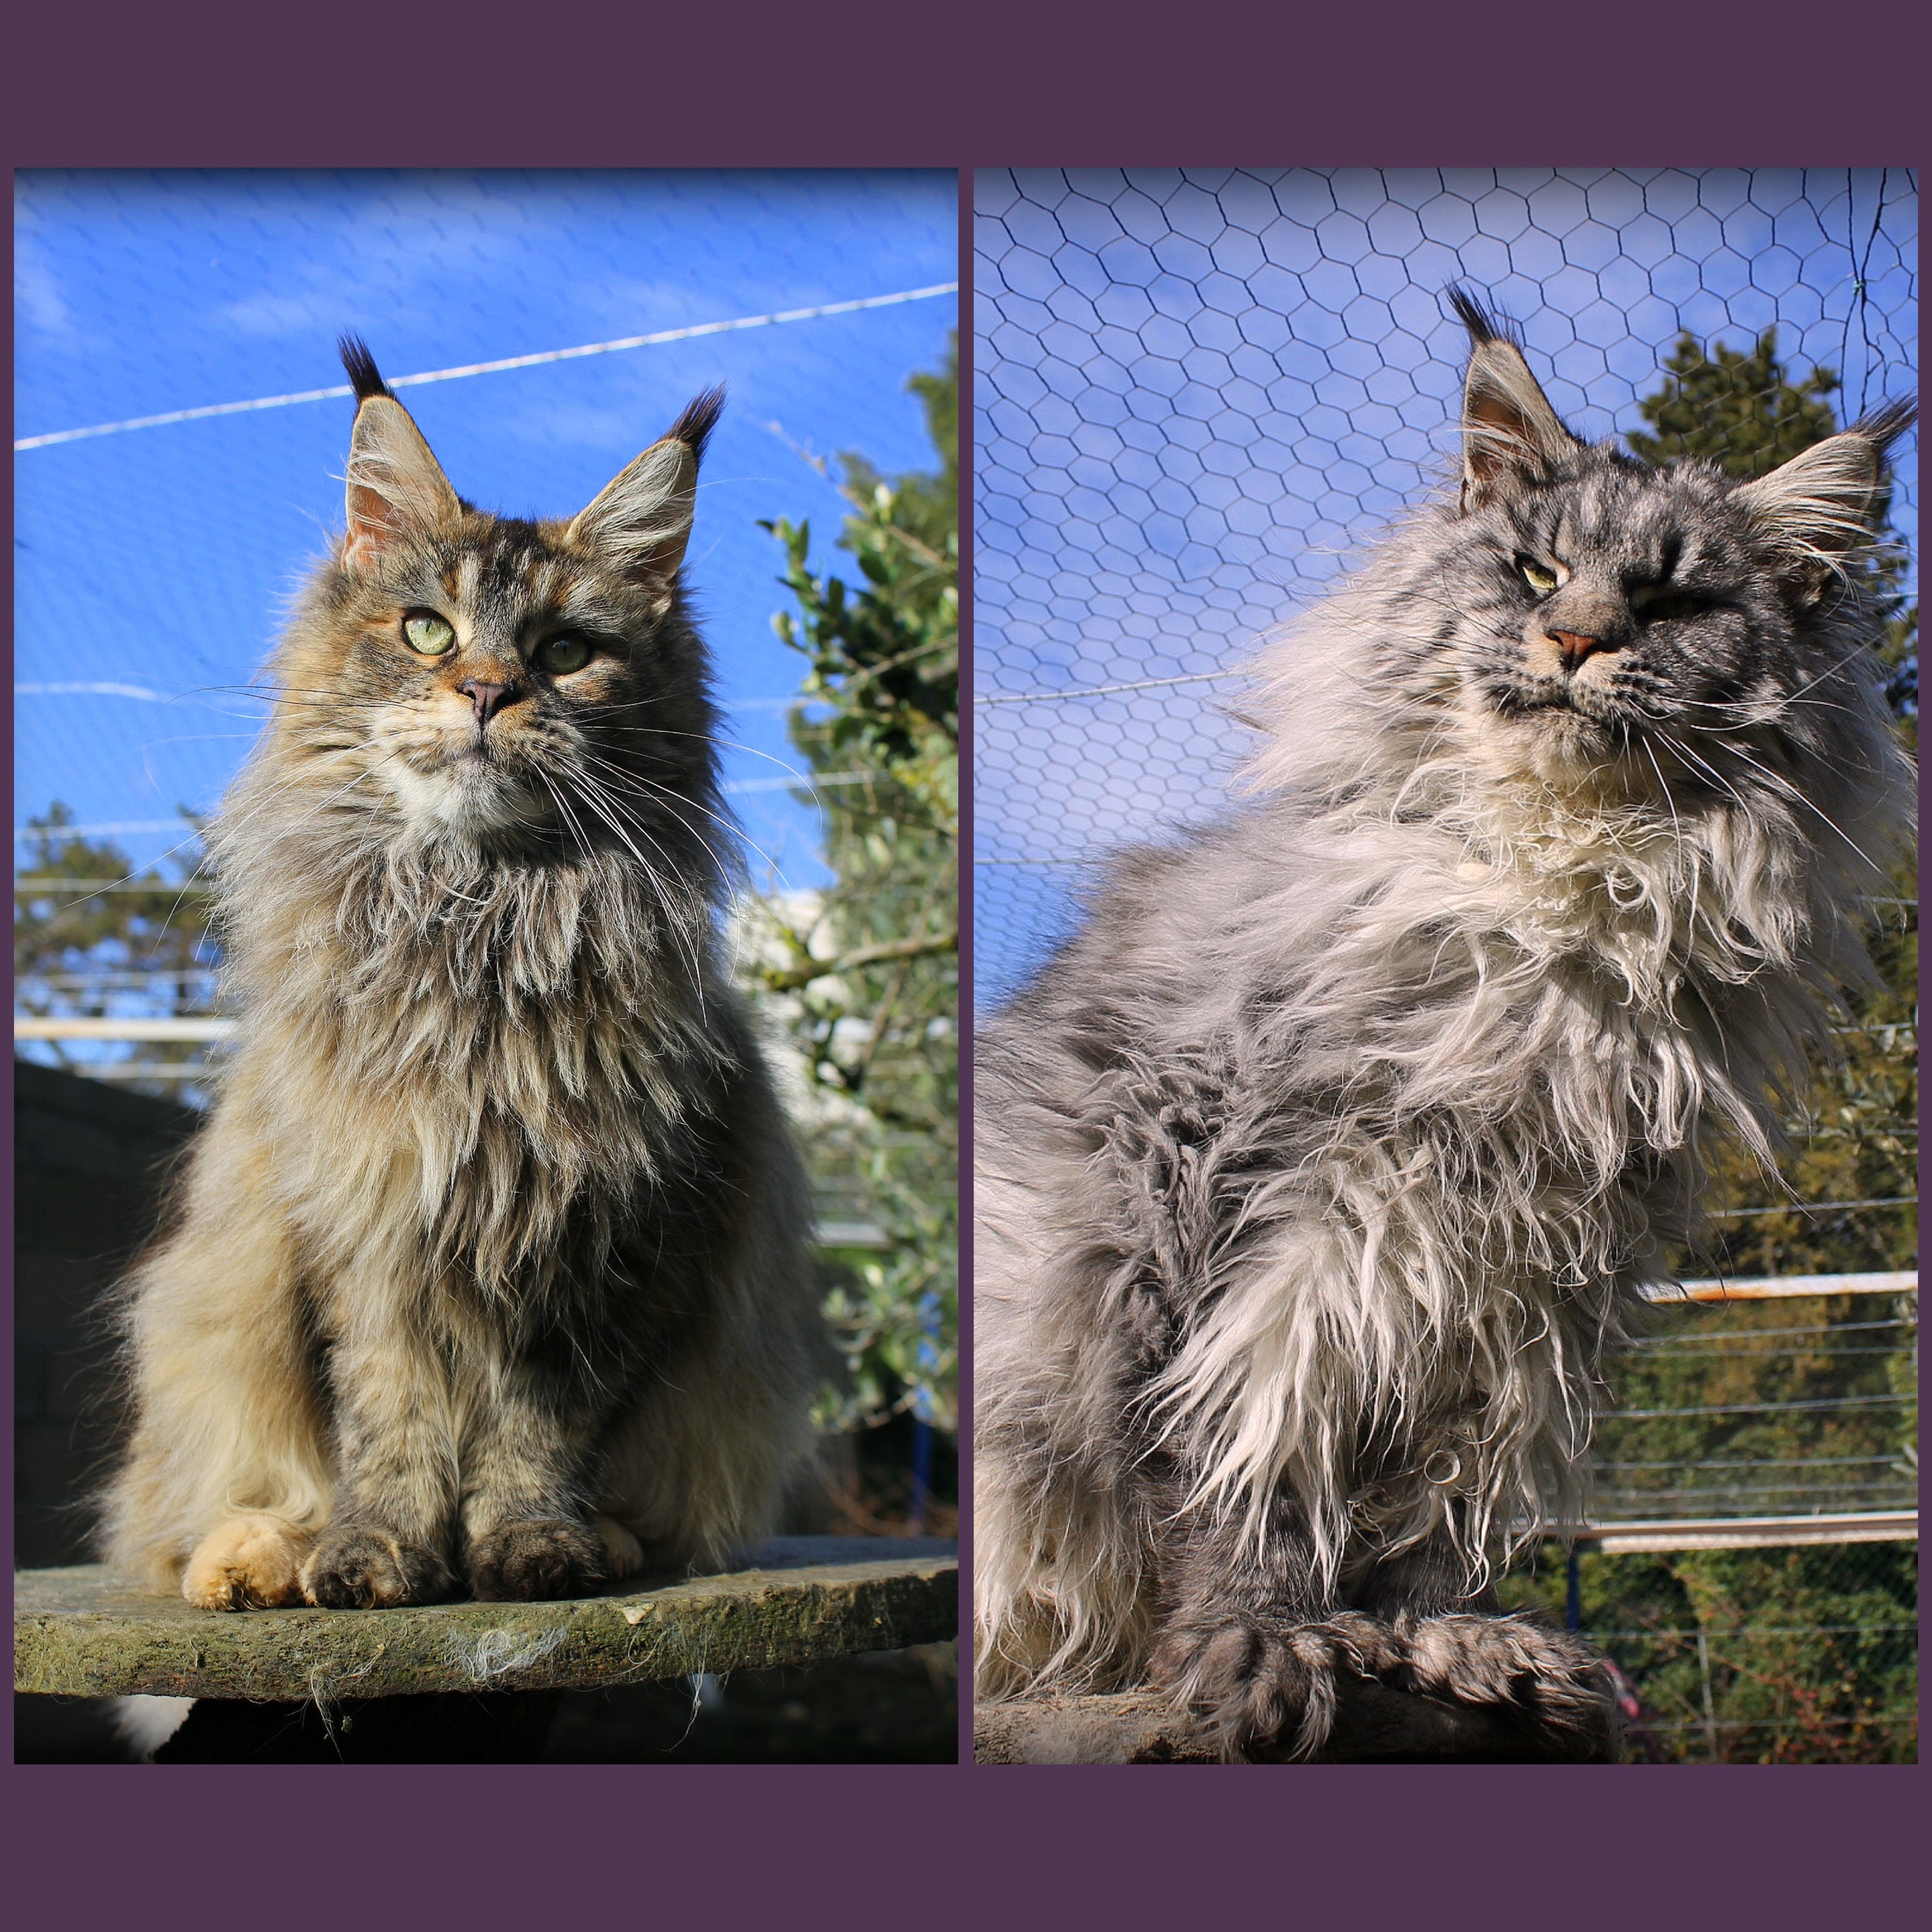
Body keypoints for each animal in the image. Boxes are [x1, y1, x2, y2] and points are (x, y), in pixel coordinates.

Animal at [104, 340, 823, 1607]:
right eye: (429, 632)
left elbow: (537, 1429)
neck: (478, 931)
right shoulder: (360, 1234)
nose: (487, 692)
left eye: (567, 653)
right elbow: (386, 1425)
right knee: (195, 1514)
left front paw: (529, 1545)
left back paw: (609, 1540)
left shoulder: (606, 1241)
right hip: (203, 1323)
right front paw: (374, 1555)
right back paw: (255, 1563)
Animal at [981, 294, 1917, 1762]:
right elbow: (1235, 1466)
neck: (1555, 922)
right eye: (1533, 573)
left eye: (1670, 601)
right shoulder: (1243, 1212)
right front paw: (1254, 1639)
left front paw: (1439, 1639)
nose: (1579, 643)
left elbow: (1435, 1511)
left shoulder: (1530, 1285)